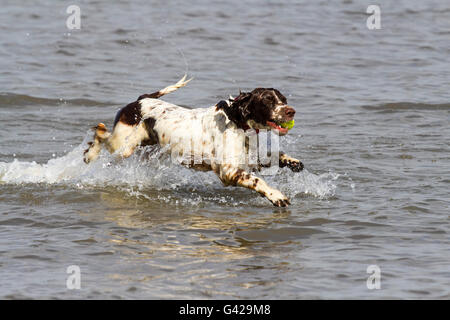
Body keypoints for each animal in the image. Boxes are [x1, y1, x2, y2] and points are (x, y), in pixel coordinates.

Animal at [83, 75, 304, 208]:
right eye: (268, 100)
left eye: (283, 100)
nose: (291, 111)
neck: (237, 122)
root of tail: (140, 100)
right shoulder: (229, 171)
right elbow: (259, 181)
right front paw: (276, 196)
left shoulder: (246, 158)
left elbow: (273, 156)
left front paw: (293, 162)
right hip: (123, 145)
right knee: (101, 136)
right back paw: (89, 154)